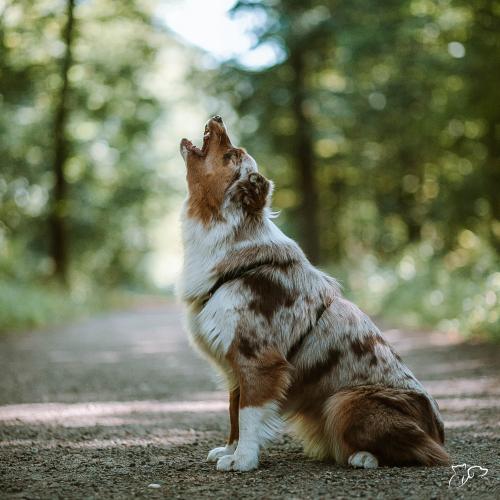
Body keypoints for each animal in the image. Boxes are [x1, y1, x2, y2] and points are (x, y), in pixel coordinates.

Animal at [177, 115, 450, 470]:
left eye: (231, 155)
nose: (218, 118)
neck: (226, 233)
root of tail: (438, 431)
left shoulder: (258, 357)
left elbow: (248, 413)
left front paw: (244, 459)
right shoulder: (235, 357)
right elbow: (234, 408)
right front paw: (230, 449)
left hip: (343, 400)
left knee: (425, 452)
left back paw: (364, 457)